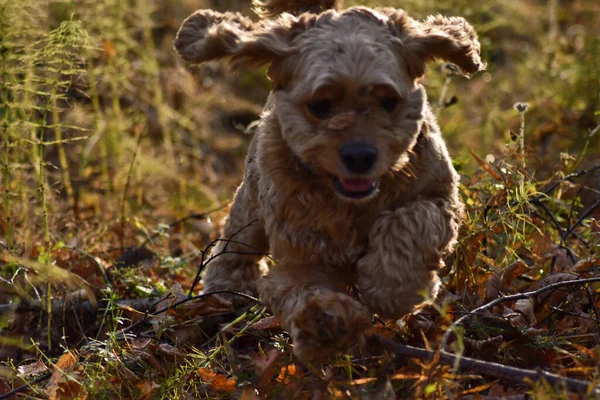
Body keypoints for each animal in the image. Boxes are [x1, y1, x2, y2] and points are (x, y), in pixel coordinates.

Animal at [172, 0, 482, 362]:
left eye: (388, 101)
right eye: (320, 105)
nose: (360, 156)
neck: (349, 202)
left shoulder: (438, 196)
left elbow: (410, 222)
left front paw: (391, 287)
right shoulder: (301, 246)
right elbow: (300, 286)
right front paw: (326, 324)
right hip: (249, 204)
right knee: (237, 245)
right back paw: (227, 290)